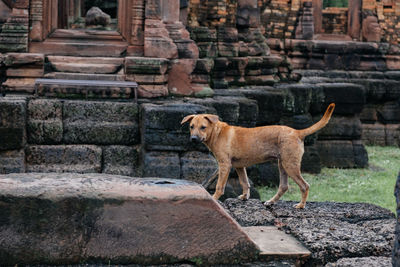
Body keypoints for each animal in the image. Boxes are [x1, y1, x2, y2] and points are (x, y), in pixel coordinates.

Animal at [181, 103, 334, 209]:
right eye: (191, 126)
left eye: (203, 127)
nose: (193, 139)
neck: (217, 132)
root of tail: (297, 132)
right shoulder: (238, 166)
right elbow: (244, 182)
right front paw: (244, 197)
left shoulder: (224, 164)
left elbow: (219, 185)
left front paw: (214, 198)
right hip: (283, 164)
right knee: (284, 186)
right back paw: (271, 201)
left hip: (290, 165)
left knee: (304, 185)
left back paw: (301, 205)